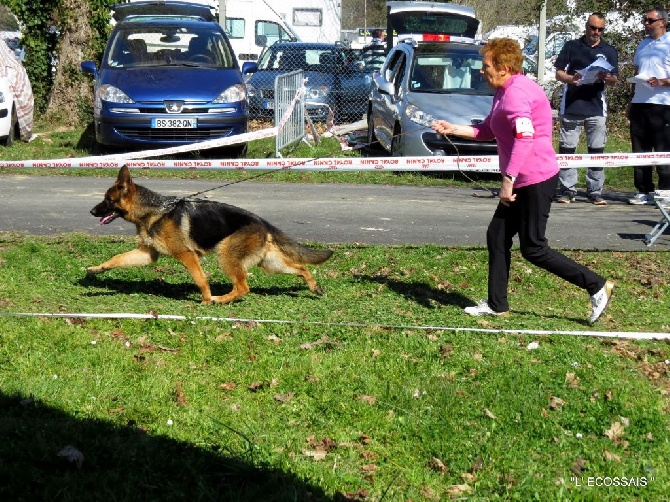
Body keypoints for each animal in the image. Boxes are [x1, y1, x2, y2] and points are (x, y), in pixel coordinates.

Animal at [88, 167, 334, 304]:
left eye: (108, 200)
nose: (91, 212)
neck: (155, 210)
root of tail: (263, 223)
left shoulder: (186, 255)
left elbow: (200, 279)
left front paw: (206, 300)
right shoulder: (147, 254)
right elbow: (117, 259)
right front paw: (97, 268)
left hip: (227, 257)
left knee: (243, 287)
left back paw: (220, 300)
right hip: (270, 263)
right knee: (301, 268)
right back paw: (314, 286)